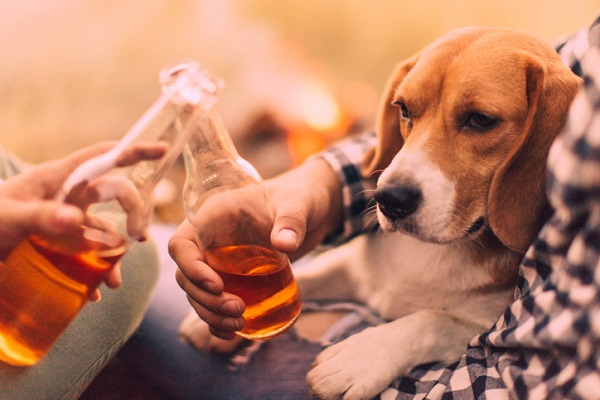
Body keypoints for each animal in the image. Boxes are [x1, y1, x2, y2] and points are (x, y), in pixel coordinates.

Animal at [178, 26, 580, 398]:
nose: (390, 198)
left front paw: (359, 358)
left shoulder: (485, 326)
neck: (431, 253)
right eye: (404, 109)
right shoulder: (355, 270)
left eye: (480, 119)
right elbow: (308, 276)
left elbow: (432, 319)